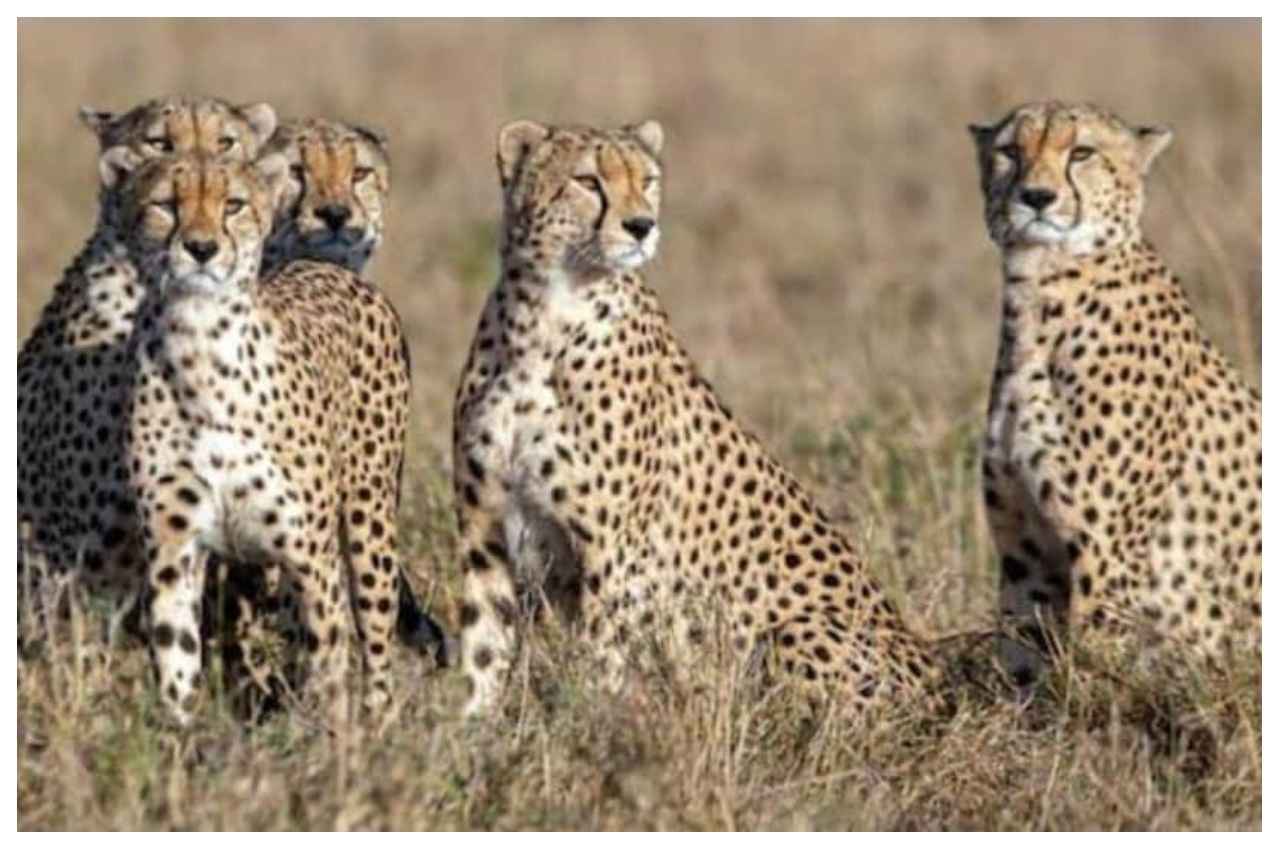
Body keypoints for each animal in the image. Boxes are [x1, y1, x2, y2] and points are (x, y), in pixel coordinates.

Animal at [118, 149, 411, 727]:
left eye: (233, 205)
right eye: (166, 205)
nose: (201, 248)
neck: (200, 348)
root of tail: (325, 266)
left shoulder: (310, 555)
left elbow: (329, 666)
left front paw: (332, 745)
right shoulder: (172, 551)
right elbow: (176, 660)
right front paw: (181, 739)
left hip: (369, 524)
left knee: (375, 647)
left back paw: (381, 725)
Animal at [452, 119, 939, 718]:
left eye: (648, 180)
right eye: (588, 181)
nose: (642, 225)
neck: (543, 316)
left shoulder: (613, 553)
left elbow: (600, 662)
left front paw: (592, 727)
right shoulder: (485, 530)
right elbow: (481, 650)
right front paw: (471, 732)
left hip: (795, 632)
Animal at [968, 100, 1262, 689]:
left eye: (1081, 152)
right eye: (1010, 151)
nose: (1036, 197)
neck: (1041, 294)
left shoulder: (1107, 559)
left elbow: (1095, 673)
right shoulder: (1025, 556)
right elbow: (1023, 660)